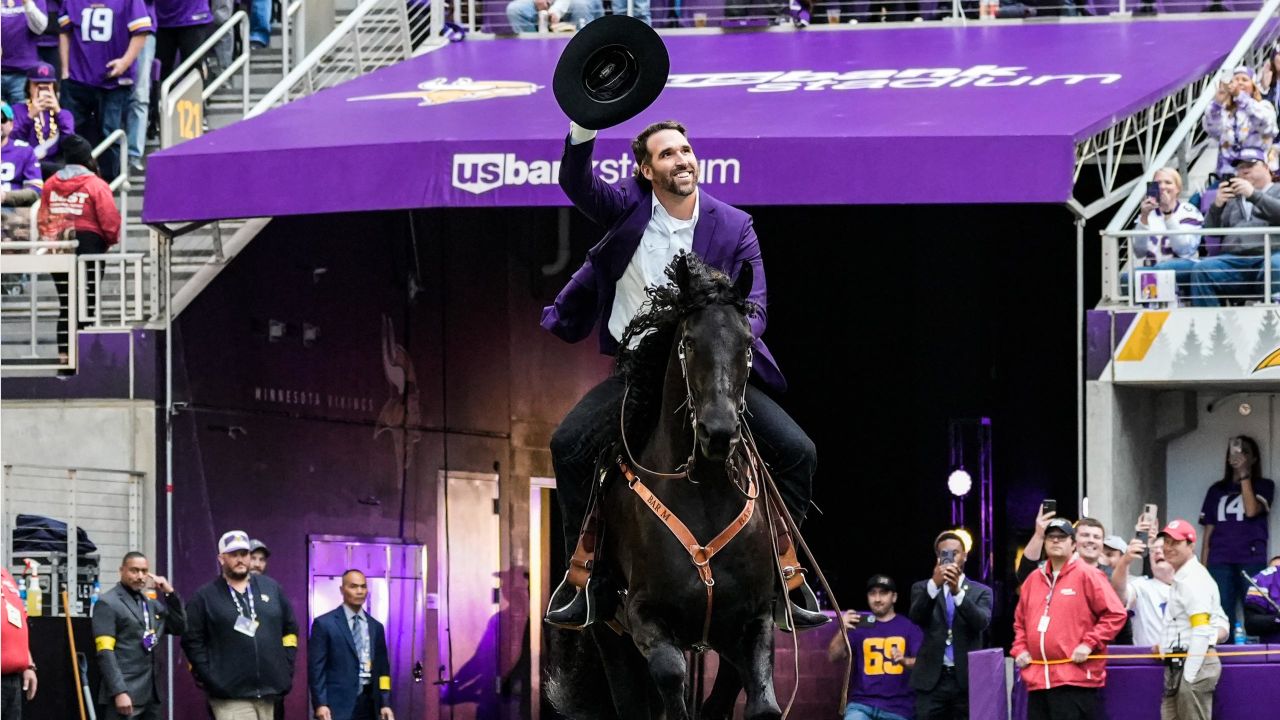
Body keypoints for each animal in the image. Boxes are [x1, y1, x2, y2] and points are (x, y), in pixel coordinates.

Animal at [547, 252, 778, 717]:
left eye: (747, 345)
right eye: (688, 342)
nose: (718, 432)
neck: (705, 495)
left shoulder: (754, 620)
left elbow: (761, 703)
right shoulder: (645, 617)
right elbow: (671, 677)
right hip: (611, 638)